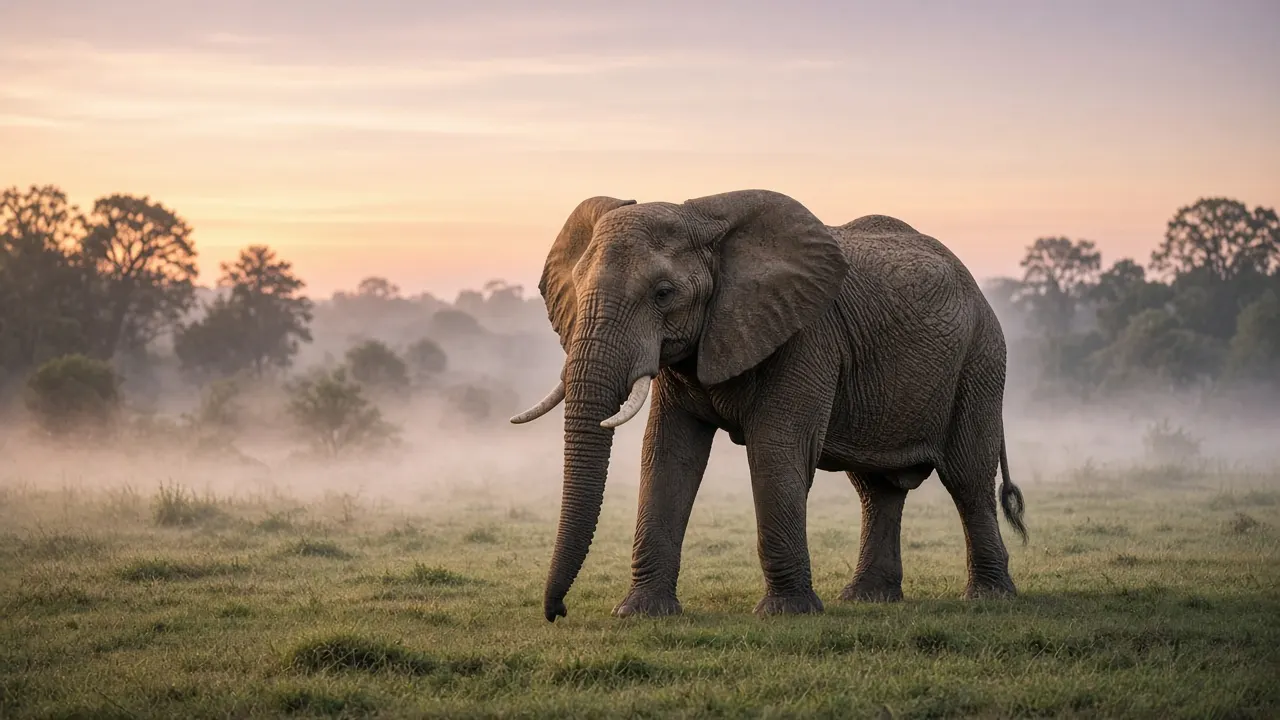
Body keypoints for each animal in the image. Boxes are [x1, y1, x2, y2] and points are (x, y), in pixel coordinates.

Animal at [510, 189, 1027, 623]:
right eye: (577, 288)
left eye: (663, 294)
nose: (557, 612)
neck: (701, 215)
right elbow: (668, 455)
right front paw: (640, 615)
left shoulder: (807, 335)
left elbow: (777, 449)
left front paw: (786, 614)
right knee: (877, 489)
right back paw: (867, 599)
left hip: (981, 360)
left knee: (967, 478)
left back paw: (989, 598)